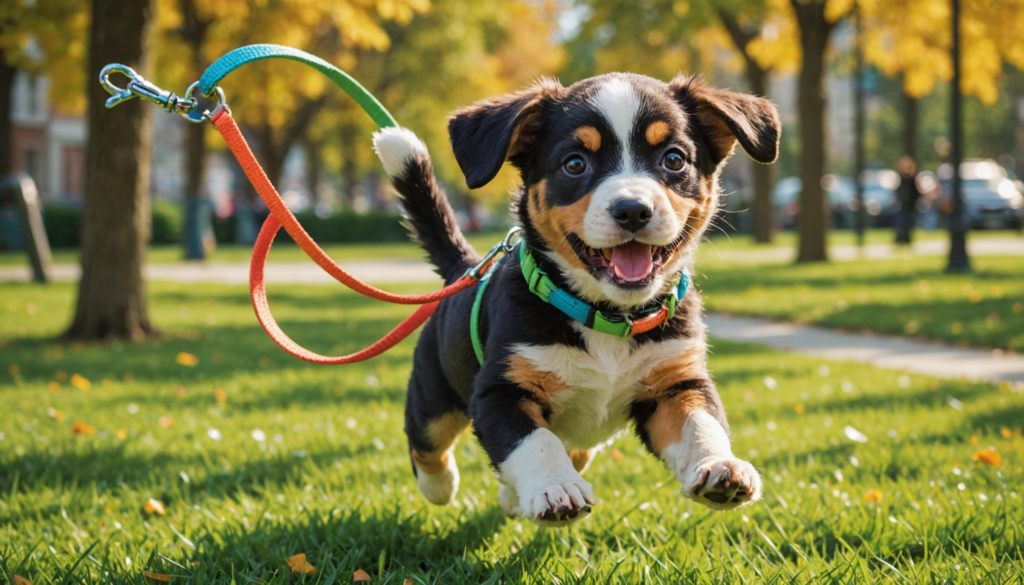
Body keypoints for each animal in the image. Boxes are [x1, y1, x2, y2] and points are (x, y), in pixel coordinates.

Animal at [372, 71, 778, 528]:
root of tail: (467, 265)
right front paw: (554, 489)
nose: (632, 210)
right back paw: (442, 485)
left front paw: (719, 467)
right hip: (433, 393)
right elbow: (535, 441)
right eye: (575, 163)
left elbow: (701, 423)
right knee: (427, 442)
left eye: (673, 159)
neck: (608, 317)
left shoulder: (676, 382)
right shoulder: (499, 391)